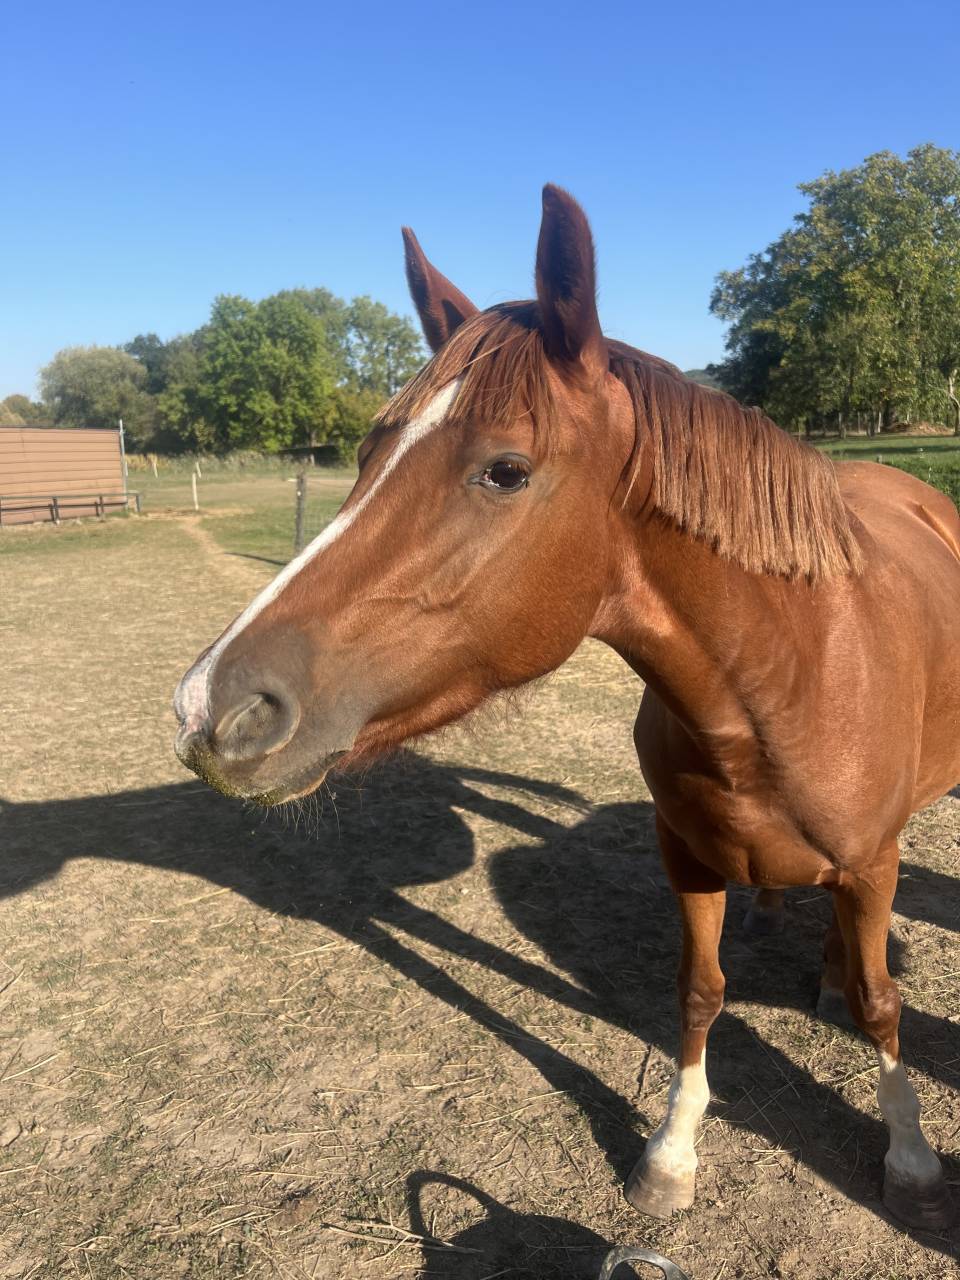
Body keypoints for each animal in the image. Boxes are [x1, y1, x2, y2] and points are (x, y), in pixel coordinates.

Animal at [173, 185, 960, 1230]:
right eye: (368, 452)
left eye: (505, 469)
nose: (213, 709)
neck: (786, 679)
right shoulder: (688, 858)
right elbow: (699, 992)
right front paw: (671, 1153)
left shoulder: (871, 866)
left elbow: (882, 1006)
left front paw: (909, 1153)